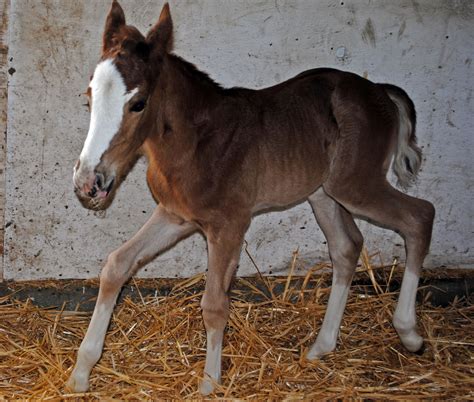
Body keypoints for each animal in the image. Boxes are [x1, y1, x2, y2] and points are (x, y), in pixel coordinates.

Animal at [66, 0, 434, 396]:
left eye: (138, 103)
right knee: (347, 246)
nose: (88, 181)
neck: (196, 144)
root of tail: (379, 90)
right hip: (324, 194)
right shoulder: (175, 215)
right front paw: (80, 373)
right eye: (89, 95)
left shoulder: (229, 225)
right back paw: (320, 347)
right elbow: (116, 265)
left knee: (419, 217)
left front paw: (210, 384)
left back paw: (410, 334)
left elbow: (214, 304)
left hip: (355, 186)